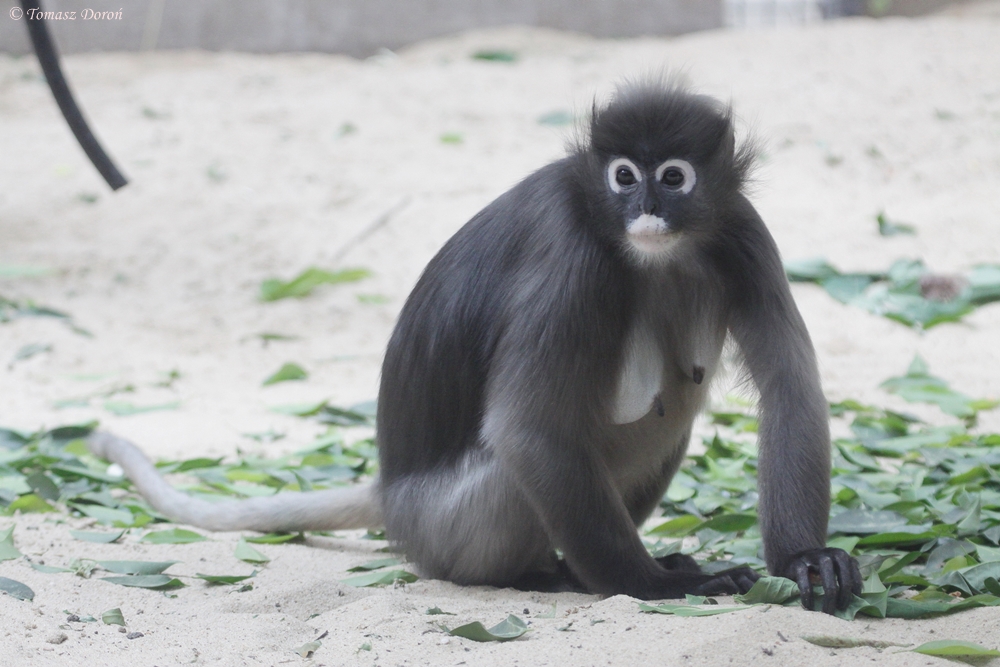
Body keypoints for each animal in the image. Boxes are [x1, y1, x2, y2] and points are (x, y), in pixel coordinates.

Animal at [89, 77, 862, 614]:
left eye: (672, 177)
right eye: (623, 175)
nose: (645, 208)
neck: (655, 256)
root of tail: (391, 491)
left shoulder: (742, 230)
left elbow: (792, 390)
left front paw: (804, 557)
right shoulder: (571, 256)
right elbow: (526, 429)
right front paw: (655, 587)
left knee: (669, 415)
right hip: (449, 524)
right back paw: (547, 575)